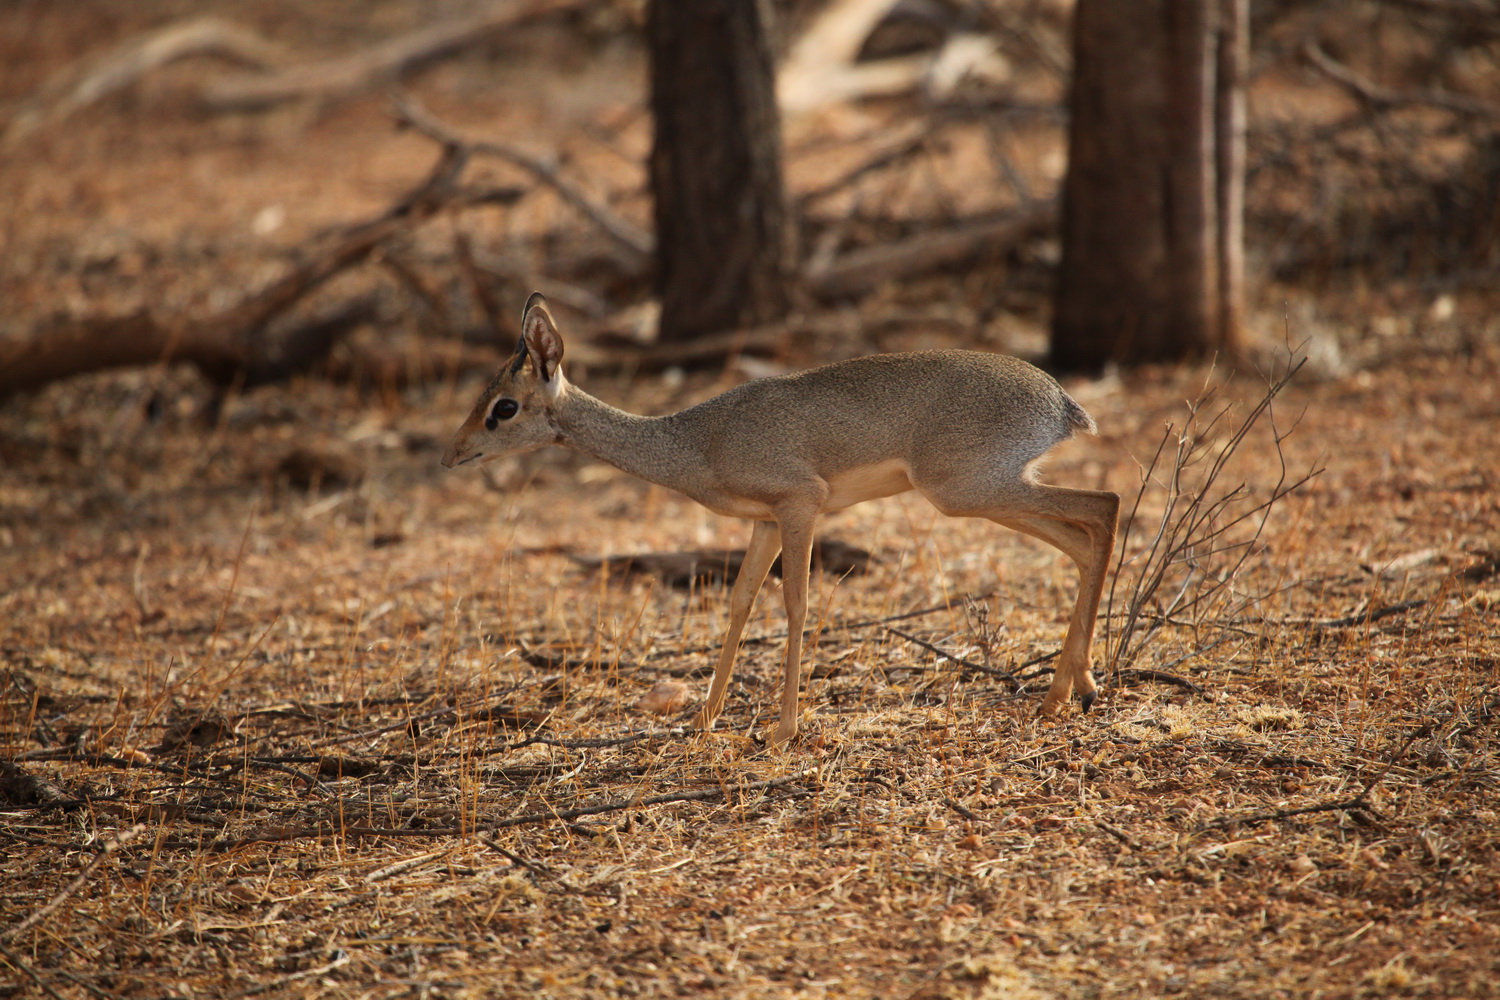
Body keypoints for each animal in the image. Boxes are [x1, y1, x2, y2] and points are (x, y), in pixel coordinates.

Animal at [438, 293, 1122, 746]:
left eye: (504, 407)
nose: (452, 454)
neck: (695, 442)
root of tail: (1061, 402)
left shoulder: (800, 505)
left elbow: (796, 602)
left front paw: (785, 728)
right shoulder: (763, 522)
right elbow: (740, 603)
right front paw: (703, 719)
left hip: (969, 491)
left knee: (1102, 508)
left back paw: (1068, 692)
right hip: (992, 491)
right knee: (1087, 533)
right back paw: (1072, 691)